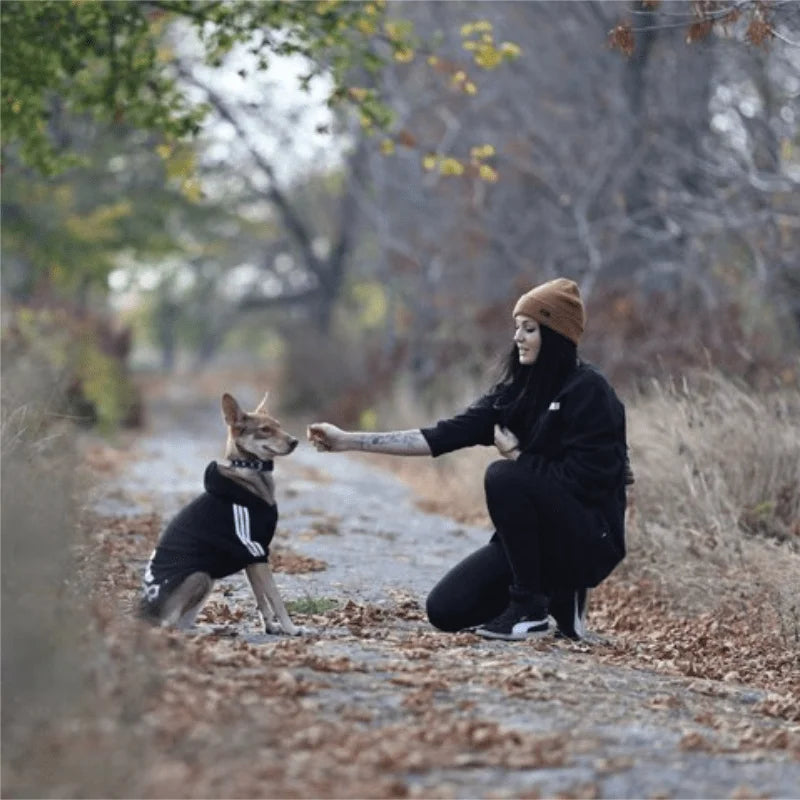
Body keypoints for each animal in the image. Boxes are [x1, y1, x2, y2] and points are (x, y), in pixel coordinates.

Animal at [138, 390, 304, 636]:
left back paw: (214, 628)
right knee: (171, 626)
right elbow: (275, 597)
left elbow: (261, 598)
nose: (295, 441)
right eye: (265, 429)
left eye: (279, 425)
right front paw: (291, 629)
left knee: (182, 624)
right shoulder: (256, 550)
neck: (249, 475)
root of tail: (144, 616)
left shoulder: (252, 558)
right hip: (201, 576)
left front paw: (271, 626)